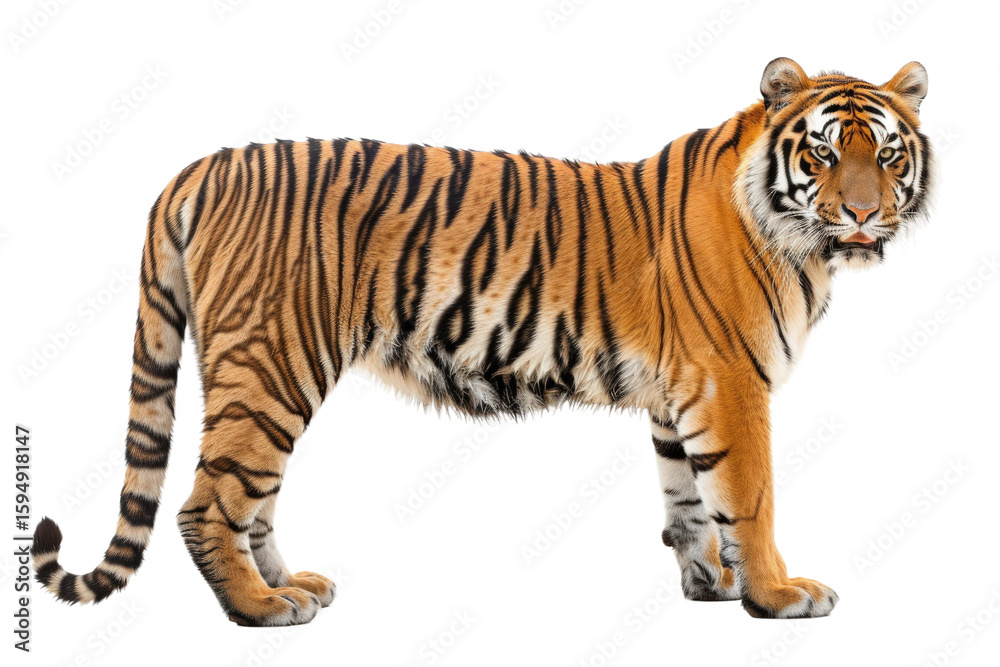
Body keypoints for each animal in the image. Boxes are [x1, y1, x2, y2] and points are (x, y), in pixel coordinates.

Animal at [31, 57, 933, 625]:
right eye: (824, 153)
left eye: (888, 154)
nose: (862, 213)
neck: (802, 241)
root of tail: (200, 165)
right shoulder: (729, 381)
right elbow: (750, 495)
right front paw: (777, 595)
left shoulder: (680, 392)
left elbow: (688, 497)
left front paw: (709, 581)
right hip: (271, 365)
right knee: (207, 503)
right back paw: (258, 609)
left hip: (271, 377)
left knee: (253, 497)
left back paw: (293, 586)